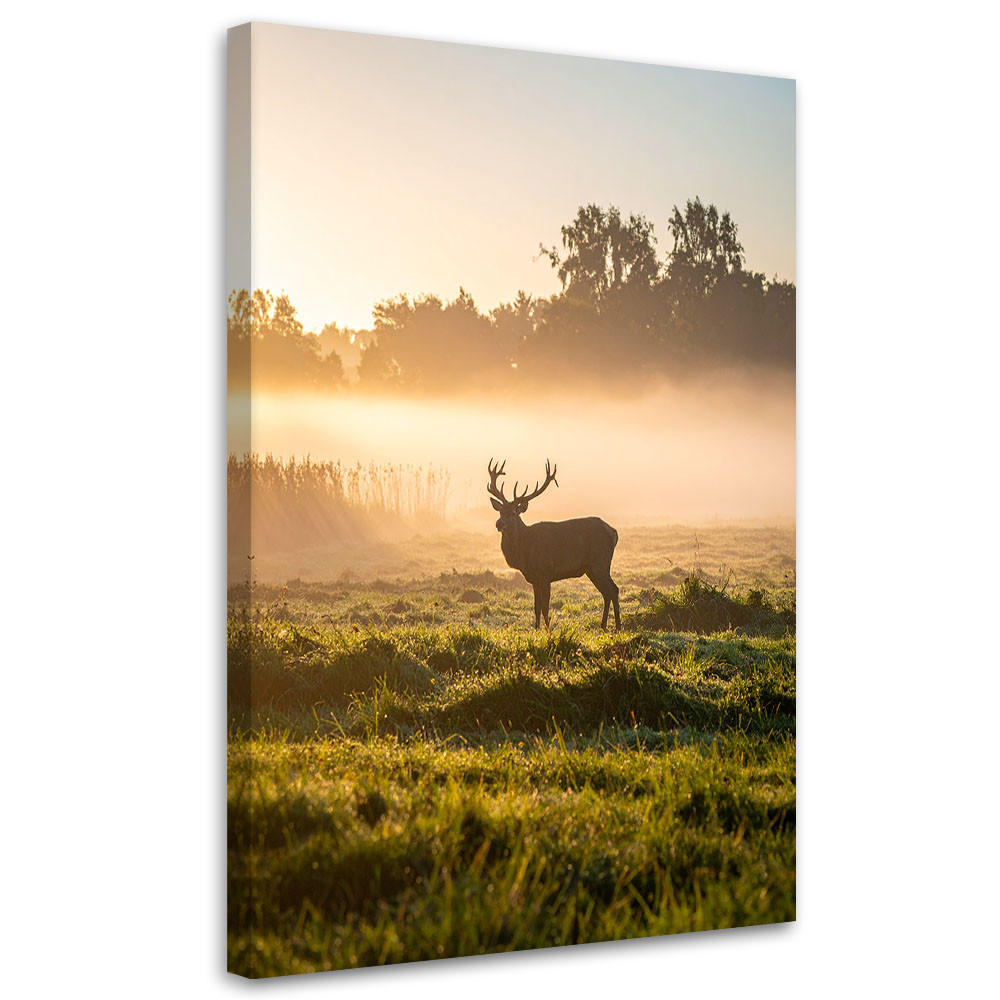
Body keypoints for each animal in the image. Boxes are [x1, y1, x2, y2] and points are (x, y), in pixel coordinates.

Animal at [487, 458, 621, 630]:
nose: (499, 523)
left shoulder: (545, 573)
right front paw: (536, 629)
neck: (525, 552)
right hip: (592, 568)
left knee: (613, 590)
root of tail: (614, 533)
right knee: (607, 592)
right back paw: (603, 625)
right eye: (500, 511)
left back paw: (617, 626)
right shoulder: (534, 579)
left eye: (513, 513)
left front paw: (548, 630)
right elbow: (536, 607)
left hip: (600, 562)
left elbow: (545, 607)